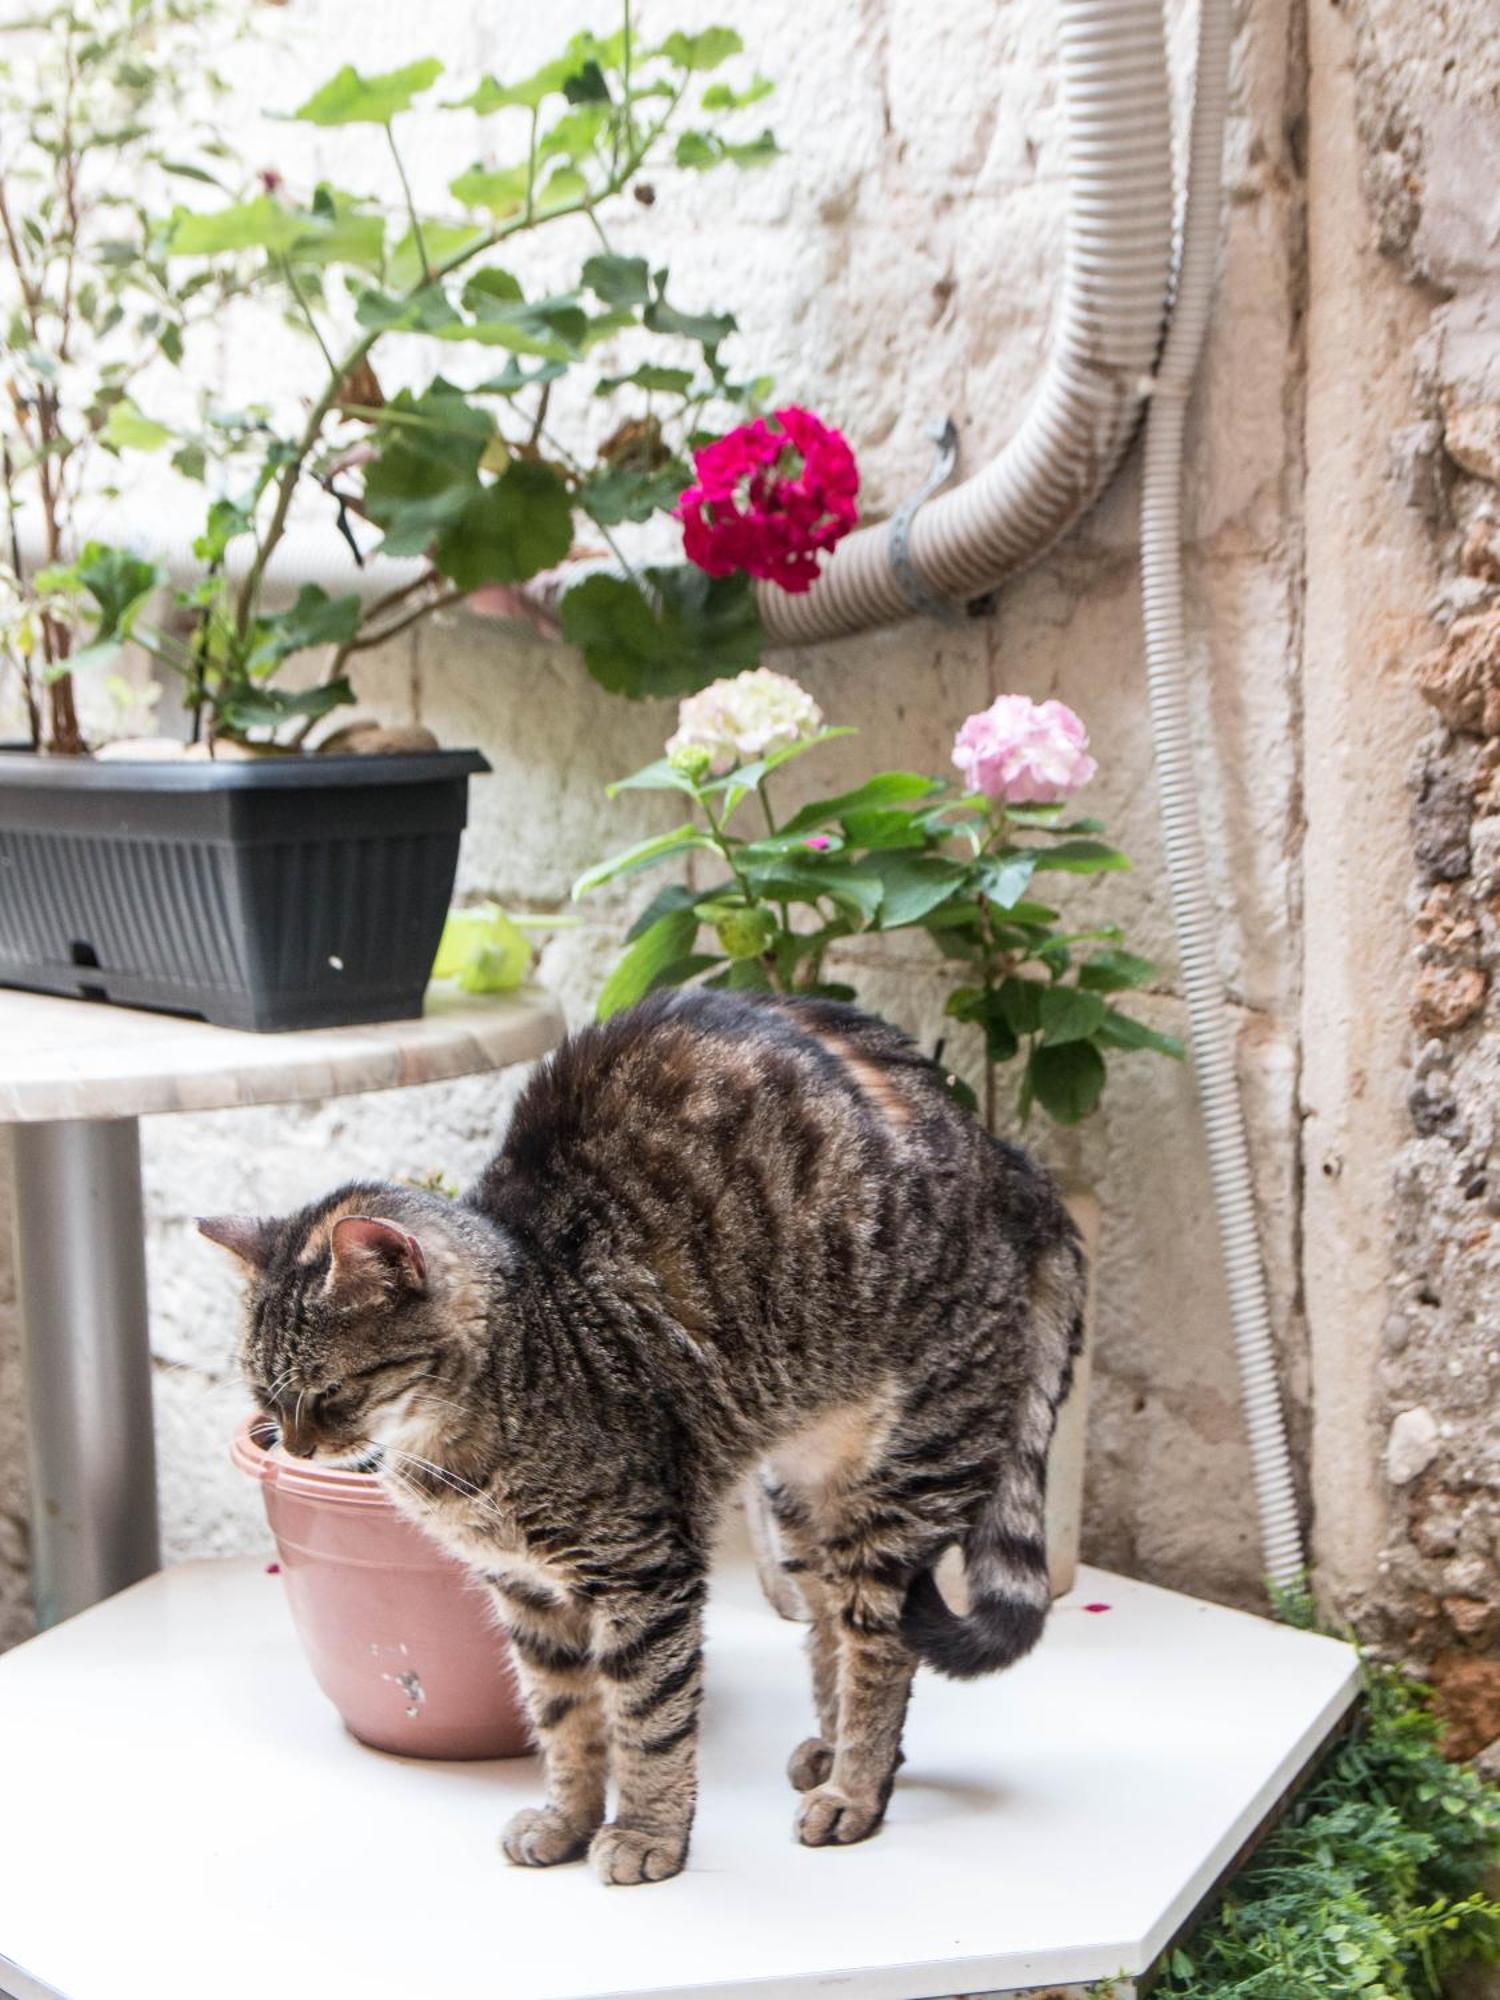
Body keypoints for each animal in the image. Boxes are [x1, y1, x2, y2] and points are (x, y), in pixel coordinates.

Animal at [206, 992, 1088, 1880]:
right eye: (265, 1396)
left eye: (331, 1393)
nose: (296, 1448)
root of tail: (1001, 1153)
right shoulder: (526, 1592)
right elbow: (563, 1717)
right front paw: (567, 1819)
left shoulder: (644, 1571)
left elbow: (648, 1718)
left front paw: (645, 1833)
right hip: (803, 1508)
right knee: (832, 1629)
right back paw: (830, 1751)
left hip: (904, 1478)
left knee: (883, 1651)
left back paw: (854, 1789)